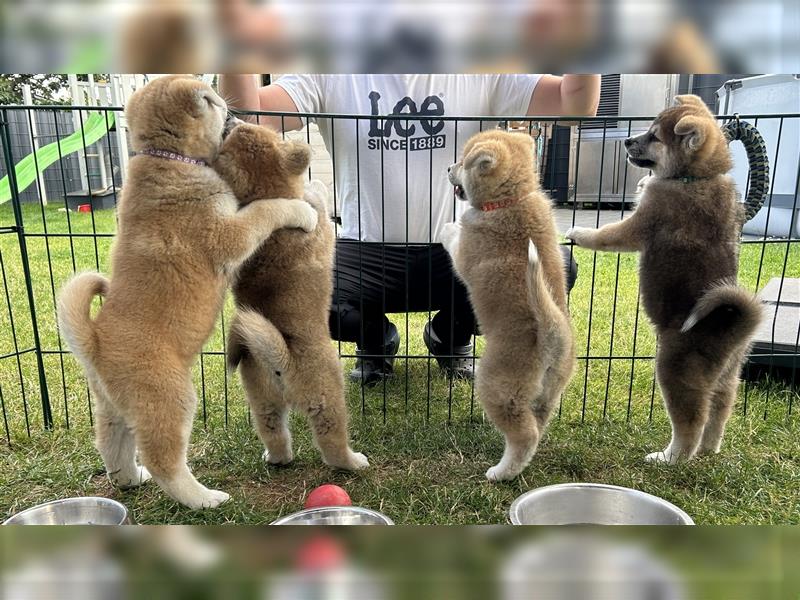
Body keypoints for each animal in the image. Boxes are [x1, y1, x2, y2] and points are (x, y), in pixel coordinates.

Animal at [57, 74, 318, 506]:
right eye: (211, 100)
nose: (230, 107)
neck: (169, 158)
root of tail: (94, 341)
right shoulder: (229, 233)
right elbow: (267, 210)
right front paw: (303, 212)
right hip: (170, 399)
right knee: (164, 460)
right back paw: (202, 497)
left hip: (113, 409)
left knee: (113, 448)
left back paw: (131, 479)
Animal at [217, 124, 370, 474]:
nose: (230, 122)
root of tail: (280, 364)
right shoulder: (321, 222)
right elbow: (317, 198)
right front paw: (315, 186)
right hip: (328, 397)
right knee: (331, 442)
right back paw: (352, 461)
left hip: (262, 401)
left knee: (273, 432)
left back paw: (277, 458)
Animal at [444, 131, 576, 482]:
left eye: (462, 161)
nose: (448, 168)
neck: (511, 200)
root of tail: (553, 334)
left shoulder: (465, 256)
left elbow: (454, 243)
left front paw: (449, 226)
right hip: (548, 394)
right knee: (537, 428)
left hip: (498, 388)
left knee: (523, 435)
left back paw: (501, 472)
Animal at [564, 96, 760, 466]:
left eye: (655, 137)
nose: (627, 141)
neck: (695, 177)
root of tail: (731, 329)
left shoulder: (642, 222)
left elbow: (606, 235)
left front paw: (579, 232)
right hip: (729, 377)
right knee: (719, 412)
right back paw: (709, 449)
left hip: (675, 368)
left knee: (691, 421)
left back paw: (671, 457)